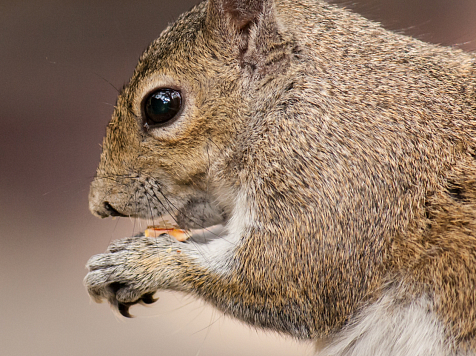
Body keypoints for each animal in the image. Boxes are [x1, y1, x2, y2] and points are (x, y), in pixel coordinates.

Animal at [84, 0, 476, 354]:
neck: (289, 99)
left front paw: (139, 262)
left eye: (161, 105)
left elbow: (277, 279)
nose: (99, 205)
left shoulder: (340, 181)